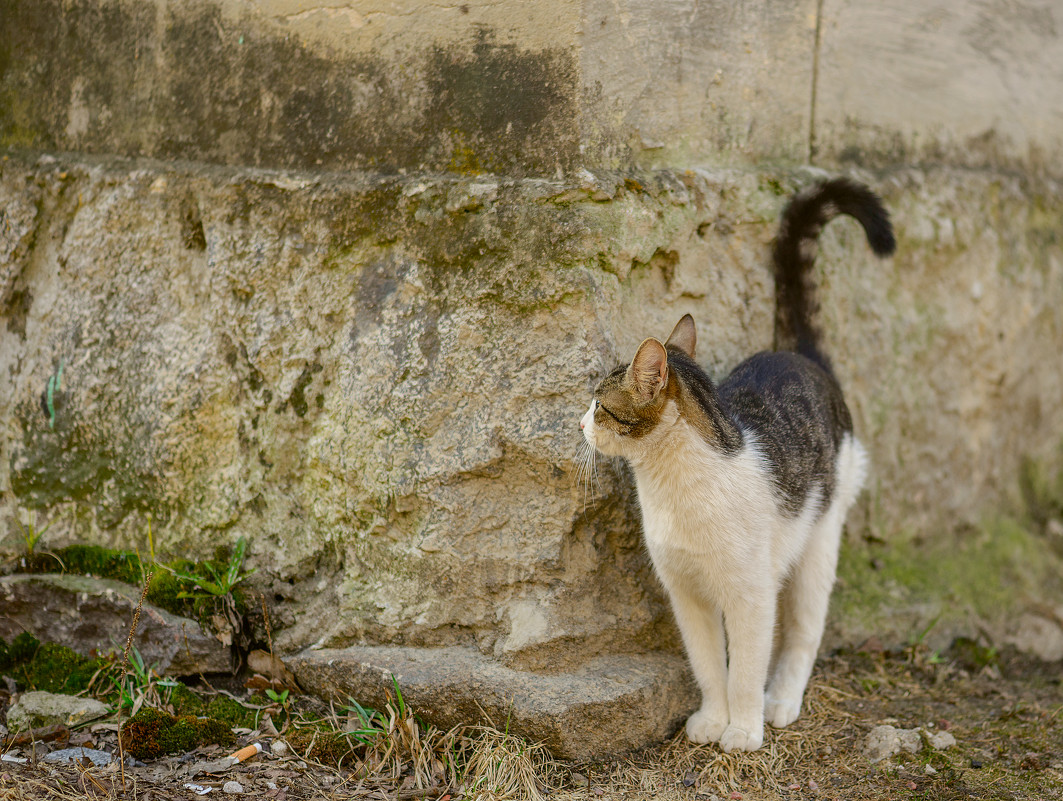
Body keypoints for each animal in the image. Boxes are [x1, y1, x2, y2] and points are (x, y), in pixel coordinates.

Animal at [582, 179, 897, 747]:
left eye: (599, 406)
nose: (577, 422)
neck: (675, 487)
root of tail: (801, 357)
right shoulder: (686, 594)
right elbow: (708, 664)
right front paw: (713, 718)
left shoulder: (751, 595)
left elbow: (746, 667)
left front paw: (744, 729)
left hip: (820, 542)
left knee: (803, 633)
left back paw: (782, 700)